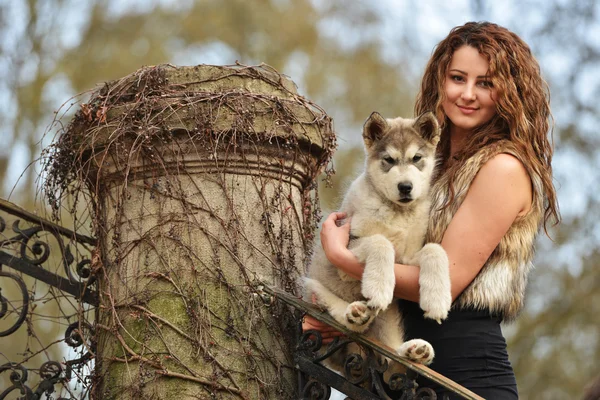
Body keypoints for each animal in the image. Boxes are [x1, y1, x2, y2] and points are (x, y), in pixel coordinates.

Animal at [304, 111, 450, 368]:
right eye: (389, 160)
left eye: (416, 158)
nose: (405, 187)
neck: (398, 213)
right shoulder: (348, 245)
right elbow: (380, 242)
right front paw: (379, 286)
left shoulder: (407, 258)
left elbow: (434, 249)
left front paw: (437, 298)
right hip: (312, 286)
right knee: (341, 316)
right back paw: (356, 313)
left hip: (389, 317)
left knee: (389, 353)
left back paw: (414, 350)